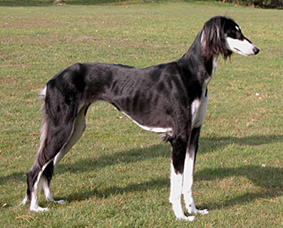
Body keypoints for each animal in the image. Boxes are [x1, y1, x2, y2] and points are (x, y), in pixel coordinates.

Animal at [20, 16, 260, 221]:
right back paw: (35, 207)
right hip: (61, 128)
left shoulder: (194, 134)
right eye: (233, 32)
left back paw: (51, 200)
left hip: (74, 129)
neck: (192, 73)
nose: (257, 49)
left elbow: (189, 180)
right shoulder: (179, 136)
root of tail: (52, 81)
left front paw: (194, 210)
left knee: (48, 167)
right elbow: (178, 181)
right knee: (35, 169)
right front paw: (181, 215)